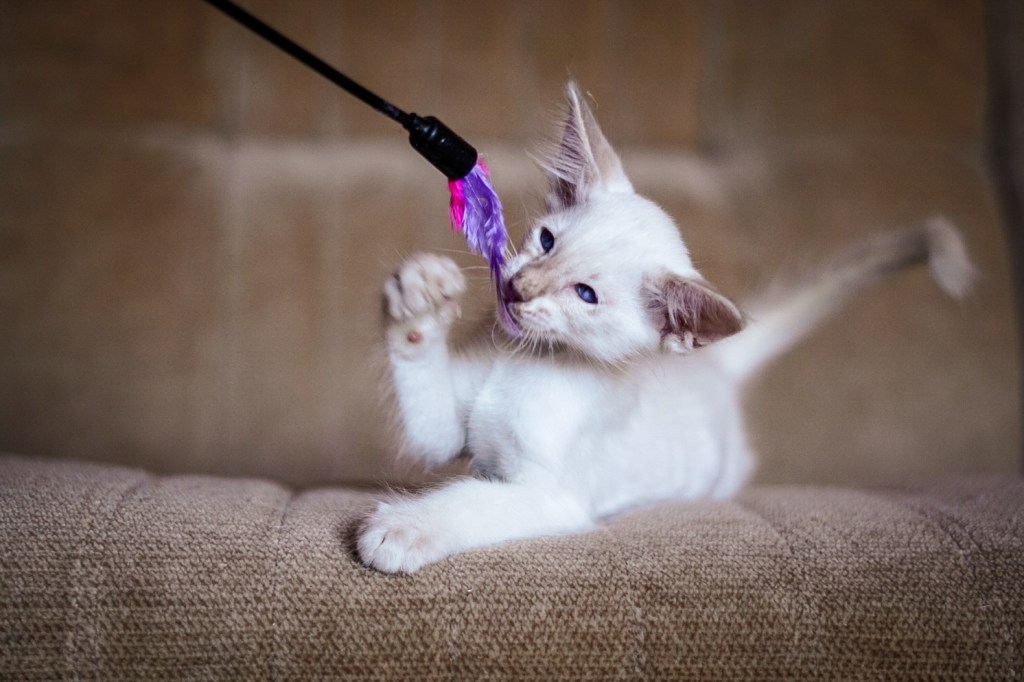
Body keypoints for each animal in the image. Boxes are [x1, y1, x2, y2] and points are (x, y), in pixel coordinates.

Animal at [357, 82, 975, 574]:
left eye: (585, 295)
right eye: (547, 241)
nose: (517, 290)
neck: (522, 359)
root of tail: (714, 366)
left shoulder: (551, 496)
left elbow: (470, 502)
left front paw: (403, 529)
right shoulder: (446, 435)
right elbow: (429, 415)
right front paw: (419, 299)